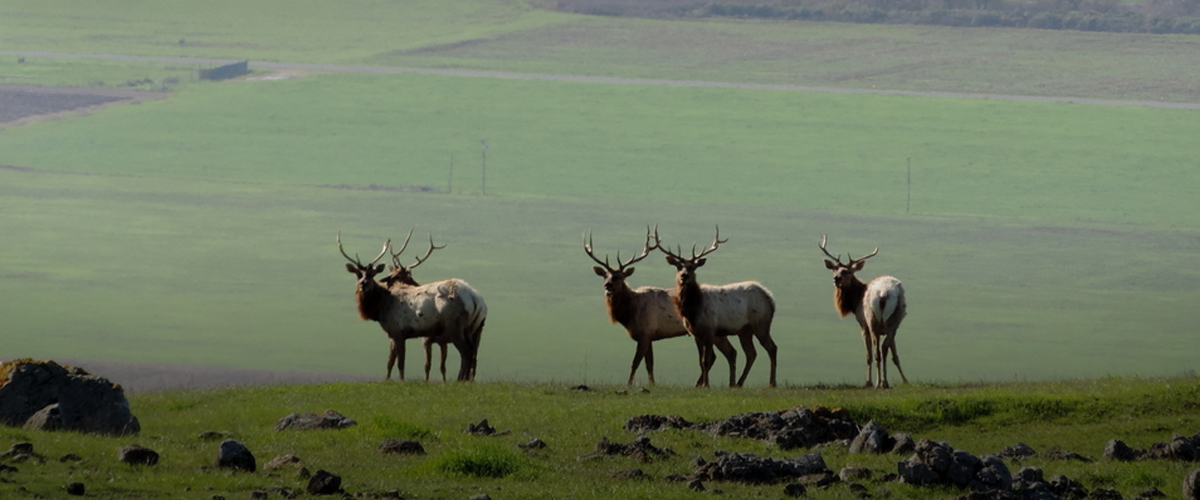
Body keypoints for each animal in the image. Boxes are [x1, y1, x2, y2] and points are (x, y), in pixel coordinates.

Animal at [336, 231, 484, 378]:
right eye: (358, 274)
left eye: (372, 274)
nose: (363, 284)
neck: (380, 307)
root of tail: (475, 299)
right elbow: (391, 362)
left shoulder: (397, 332)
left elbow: (399, 364)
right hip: (472, 329)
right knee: (472, 354)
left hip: (455, 326)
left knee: (466, 351)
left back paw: (459, 379)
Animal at [588, 225, 744, 386]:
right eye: (605, 276)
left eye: (619, 277)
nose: (608, 286)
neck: (630, 313)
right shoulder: (649, 336)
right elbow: (649, 363)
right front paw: (652, 384)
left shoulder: (645, 333)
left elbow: (635, 362)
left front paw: (629, 384)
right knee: (725, 353)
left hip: (714, 330)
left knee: (723, 354)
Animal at [657, 225, 777, 386]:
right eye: (678, 266)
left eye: (693, 267)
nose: (684, 276)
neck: (693, 311)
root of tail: (771, 298)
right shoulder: (696, 334)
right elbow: (700, 361)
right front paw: (702, 384)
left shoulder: (709, 330)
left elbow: (706, 360)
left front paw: (705, 385)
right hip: (744, 330)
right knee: (751, 353)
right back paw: (737, 383)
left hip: (761, 323)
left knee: (772, 348)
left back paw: (771, 383)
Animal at [816, 236, 907, 388]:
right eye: (834, 269)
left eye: (846, 271)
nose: (836, 279)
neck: (855, 302)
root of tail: (884, 293)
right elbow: (895, 355)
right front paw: (905, 380)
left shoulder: (863, 324)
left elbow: (868, 356)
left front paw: (868, 382)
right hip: (895, 320)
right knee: (885, 348)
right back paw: (885, 382)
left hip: (872, 320)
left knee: (877, 352)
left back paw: (878, 383)